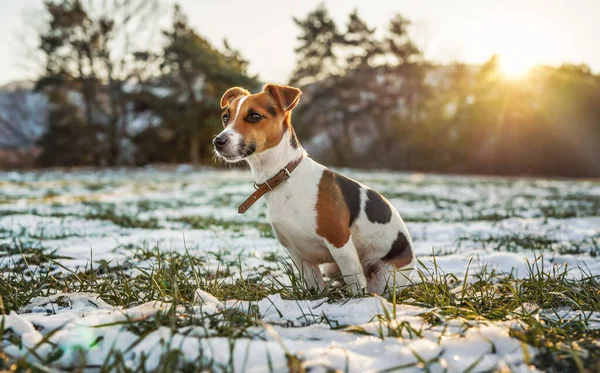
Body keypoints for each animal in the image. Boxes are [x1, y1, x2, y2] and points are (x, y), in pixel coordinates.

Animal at [213, 84, 414, 294]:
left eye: (254, 116)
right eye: (226, 117)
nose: (218, 141)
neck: (284, 177)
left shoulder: (340, 244)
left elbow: (355, 284)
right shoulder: (297, 253)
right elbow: (315, 287)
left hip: (385, 278)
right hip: (331, 268)